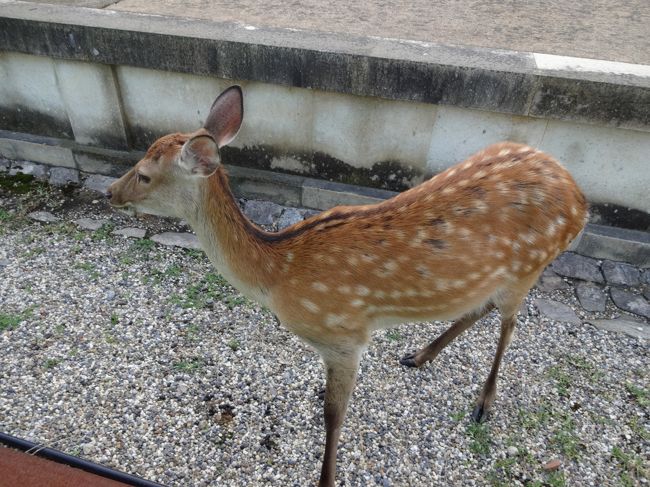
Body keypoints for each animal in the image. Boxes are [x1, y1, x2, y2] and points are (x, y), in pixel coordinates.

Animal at [107, 85, 588, 486]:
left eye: (145, 174)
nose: (111, 192)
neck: (277, 274)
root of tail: (580, 199)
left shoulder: (344, 336)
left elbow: (333, 417)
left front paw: (326, 479)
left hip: (531, 262)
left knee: (509, 322)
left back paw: (484, 402)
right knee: (481, 306)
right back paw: (420, 355)